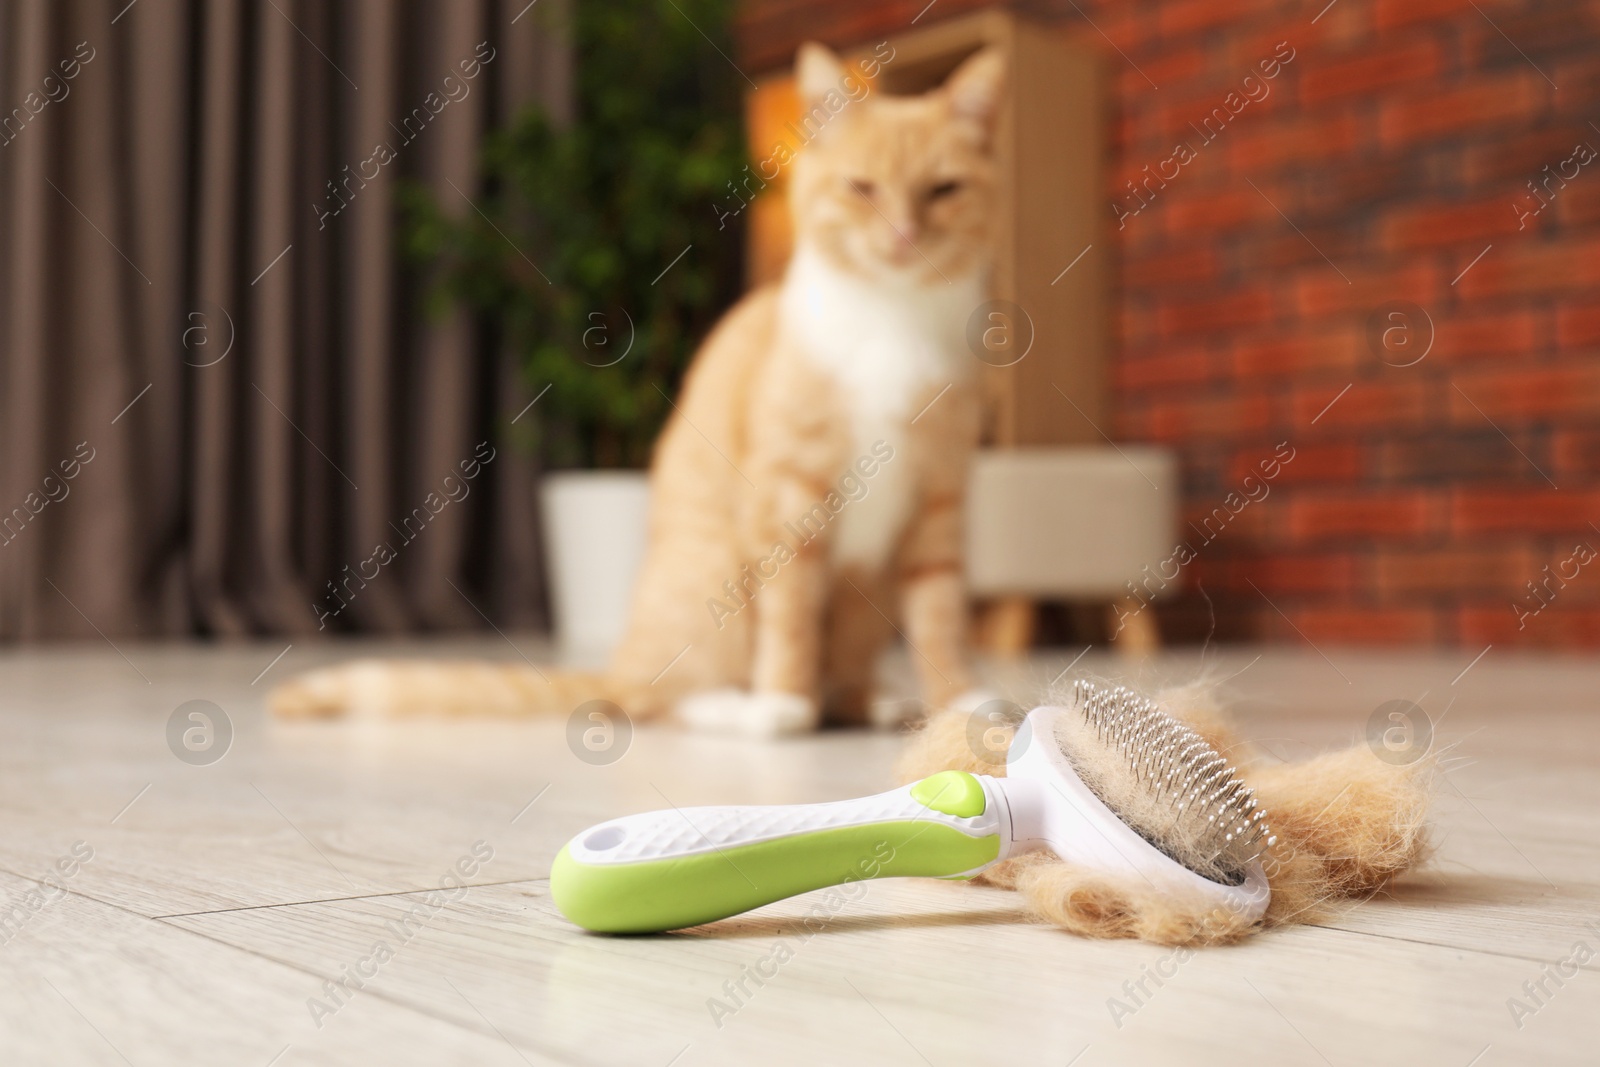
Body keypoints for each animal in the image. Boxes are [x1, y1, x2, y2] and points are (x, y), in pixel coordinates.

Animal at [270, 45, 1004, 739]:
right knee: (656, 697)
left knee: (839, 672)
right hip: (711, 573)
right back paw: (744, 709)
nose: (905, 235)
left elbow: (940, 612)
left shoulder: (940, 496)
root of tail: (619, 660)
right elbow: (792, 615)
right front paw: (784, 701)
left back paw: (872, 701)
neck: (895, 322)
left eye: (943, 190)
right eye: (861, 188)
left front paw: (959, 700)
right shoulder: (788, 497)